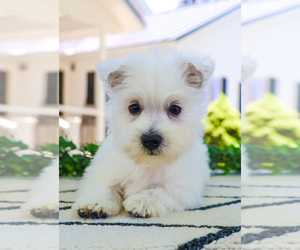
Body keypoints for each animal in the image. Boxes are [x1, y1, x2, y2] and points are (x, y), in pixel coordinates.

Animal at [73, 47, 216, 218]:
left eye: (175, 109)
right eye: (134, 107)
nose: (151, 140)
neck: (147, 164)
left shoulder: (183, 187)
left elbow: (158, 191)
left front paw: (142, 202)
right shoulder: (104, 172)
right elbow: (104, 187)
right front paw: (95, 203)